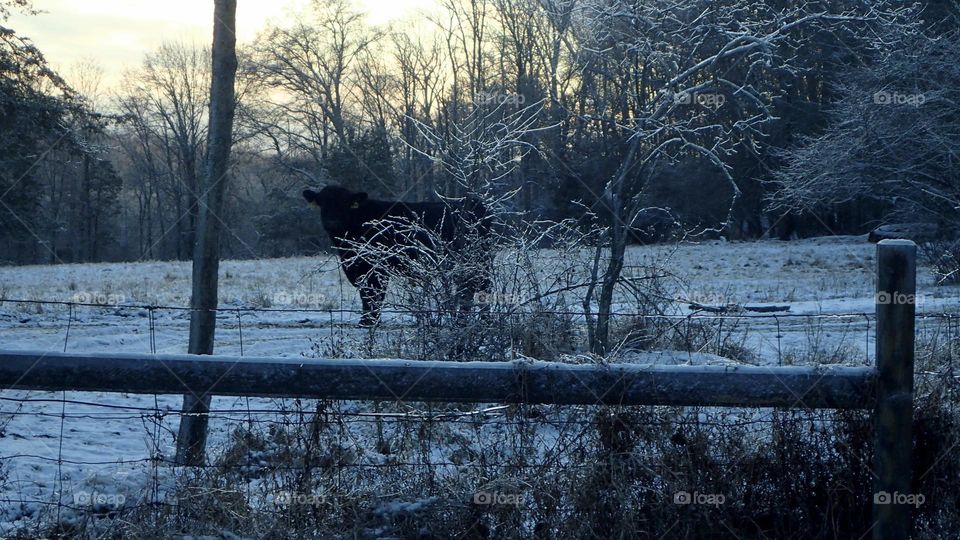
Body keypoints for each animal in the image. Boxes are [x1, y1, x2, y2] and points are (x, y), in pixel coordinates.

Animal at [304, 186, 492, 326]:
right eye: (323, 203)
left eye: (345, 204)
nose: (332, 223)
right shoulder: (358, 268)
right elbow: (366, 295)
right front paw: (367, 321)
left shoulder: (376, 268)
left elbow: (374, 295)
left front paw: (369, 322)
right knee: (469, 289)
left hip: (478, 261)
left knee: (479, 287)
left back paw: (481, 321)